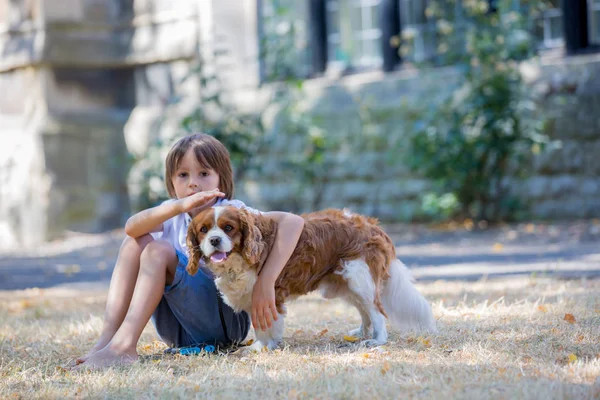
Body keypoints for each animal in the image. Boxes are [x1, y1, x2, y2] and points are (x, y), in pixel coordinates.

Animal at [188, 206, 436, 350]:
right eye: (203, 230)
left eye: (228, 228)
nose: (214, 240)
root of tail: (373, 225)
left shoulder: (268, 294)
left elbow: (266, 326)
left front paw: (262, 346)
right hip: (348, 283)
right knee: (365, 311)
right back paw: (361, 332)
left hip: (360, 279)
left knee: (377, 311)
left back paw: (378, 339)